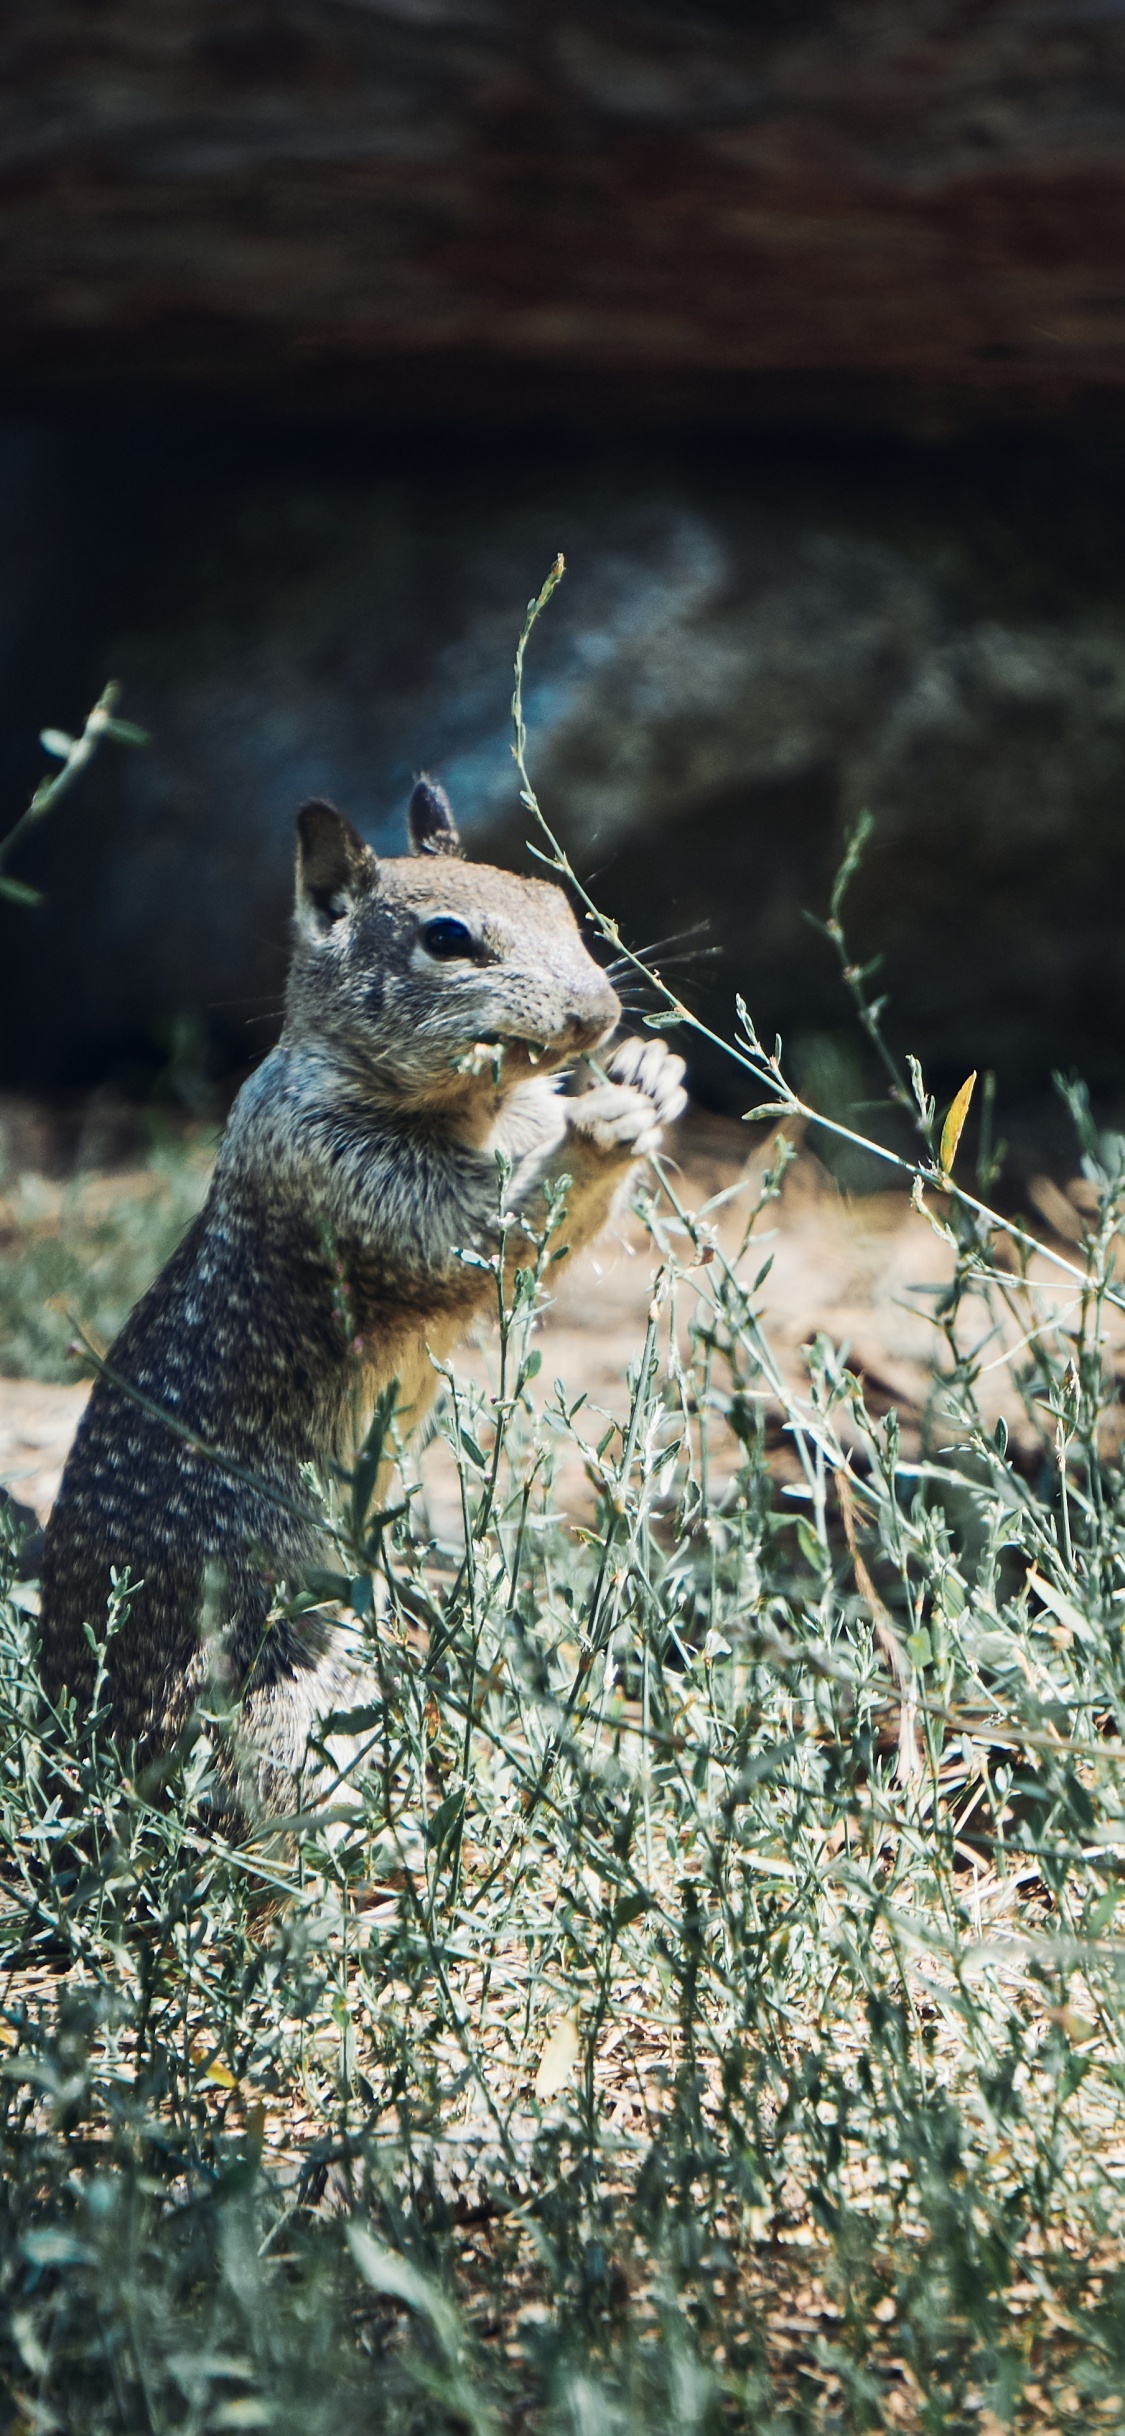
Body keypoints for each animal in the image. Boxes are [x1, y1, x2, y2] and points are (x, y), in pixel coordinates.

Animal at [38, 780, 687, 1812]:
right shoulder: (344, 1173)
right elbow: (478, 1238)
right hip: (269, 1683)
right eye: (448, 939)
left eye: (557, 903)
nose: (598, 1014)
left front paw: (648, 1078)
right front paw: (601, 1121)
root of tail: (70, 1736)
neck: (476, 1113)